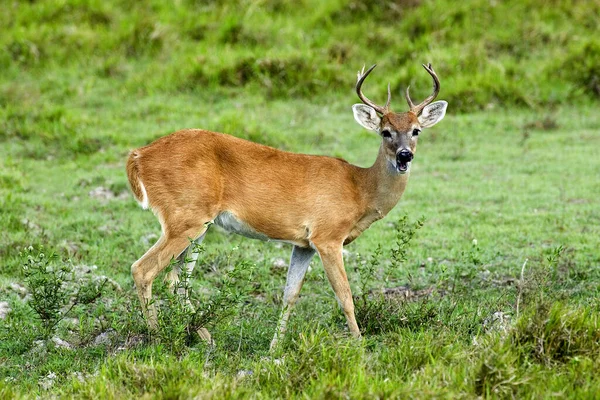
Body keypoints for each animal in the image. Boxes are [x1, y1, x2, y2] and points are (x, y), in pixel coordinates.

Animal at [125, 62, 446, 350]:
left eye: (416, 130)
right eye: (385, 131)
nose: (404, 156)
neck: (359, 189)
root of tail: (138, 155)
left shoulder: (303, 244)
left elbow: (290, 295)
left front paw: (274, 348)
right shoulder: (327, 236)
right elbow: (344, 295)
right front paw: (359, 345)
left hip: (199, 225)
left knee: (177, 278)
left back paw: (205, 337)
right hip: (184, 217)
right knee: (144, 269)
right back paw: (159, 339)